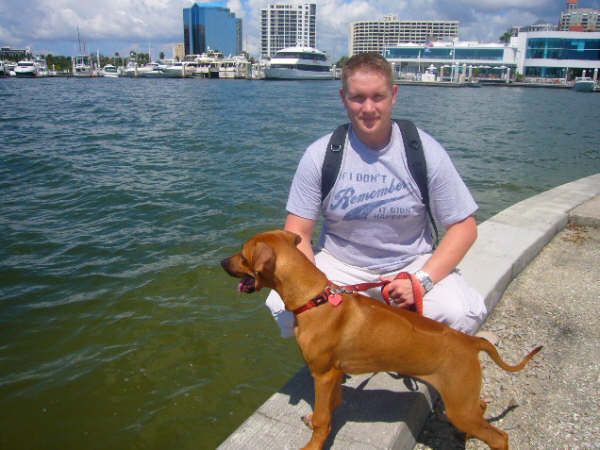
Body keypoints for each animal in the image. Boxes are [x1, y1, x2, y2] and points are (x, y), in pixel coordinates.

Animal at [221, 229, 542, 450]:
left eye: (243, 254)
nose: (222, 261)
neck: (316, 299)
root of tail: (470, 342)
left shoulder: (322, 374)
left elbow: (324, 420)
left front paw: (313, 444)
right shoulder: (333, 374)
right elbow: (331, 406)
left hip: (460, 406)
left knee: (499, 437)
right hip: (464, 402)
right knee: (483, 408)